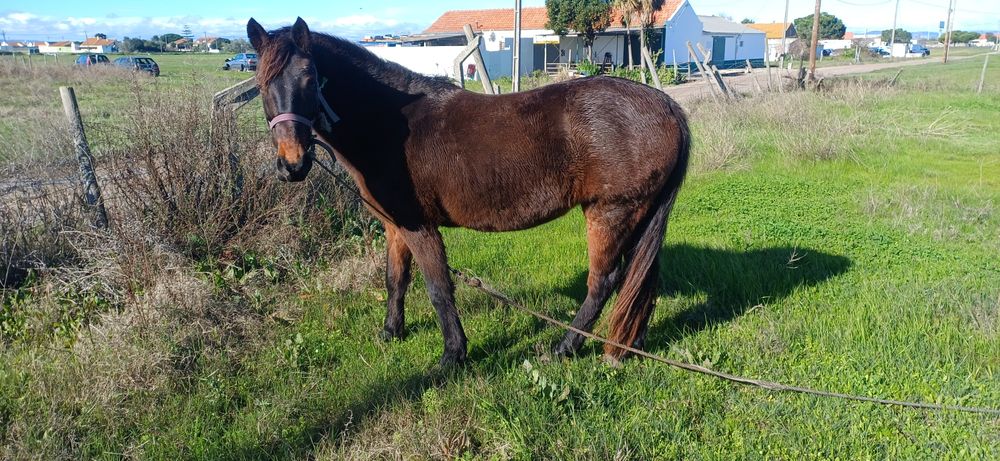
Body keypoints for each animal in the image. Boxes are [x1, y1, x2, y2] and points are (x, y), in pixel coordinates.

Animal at [247, 18, 690, 366]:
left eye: (309, 79)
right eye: (262, 85)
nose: (292, 165)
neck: (389, 124)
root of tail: (666, 105)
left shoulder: (419, 227)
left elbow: (438, 288)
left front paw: (453, 355)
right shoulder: (395, 226)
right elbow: (395, 280)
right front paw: (391, 332)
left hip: (610, 213)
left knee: (603, 282)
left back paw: (564, 347)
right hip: (638, 216)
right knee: (640, 279)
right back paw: (628, 346)